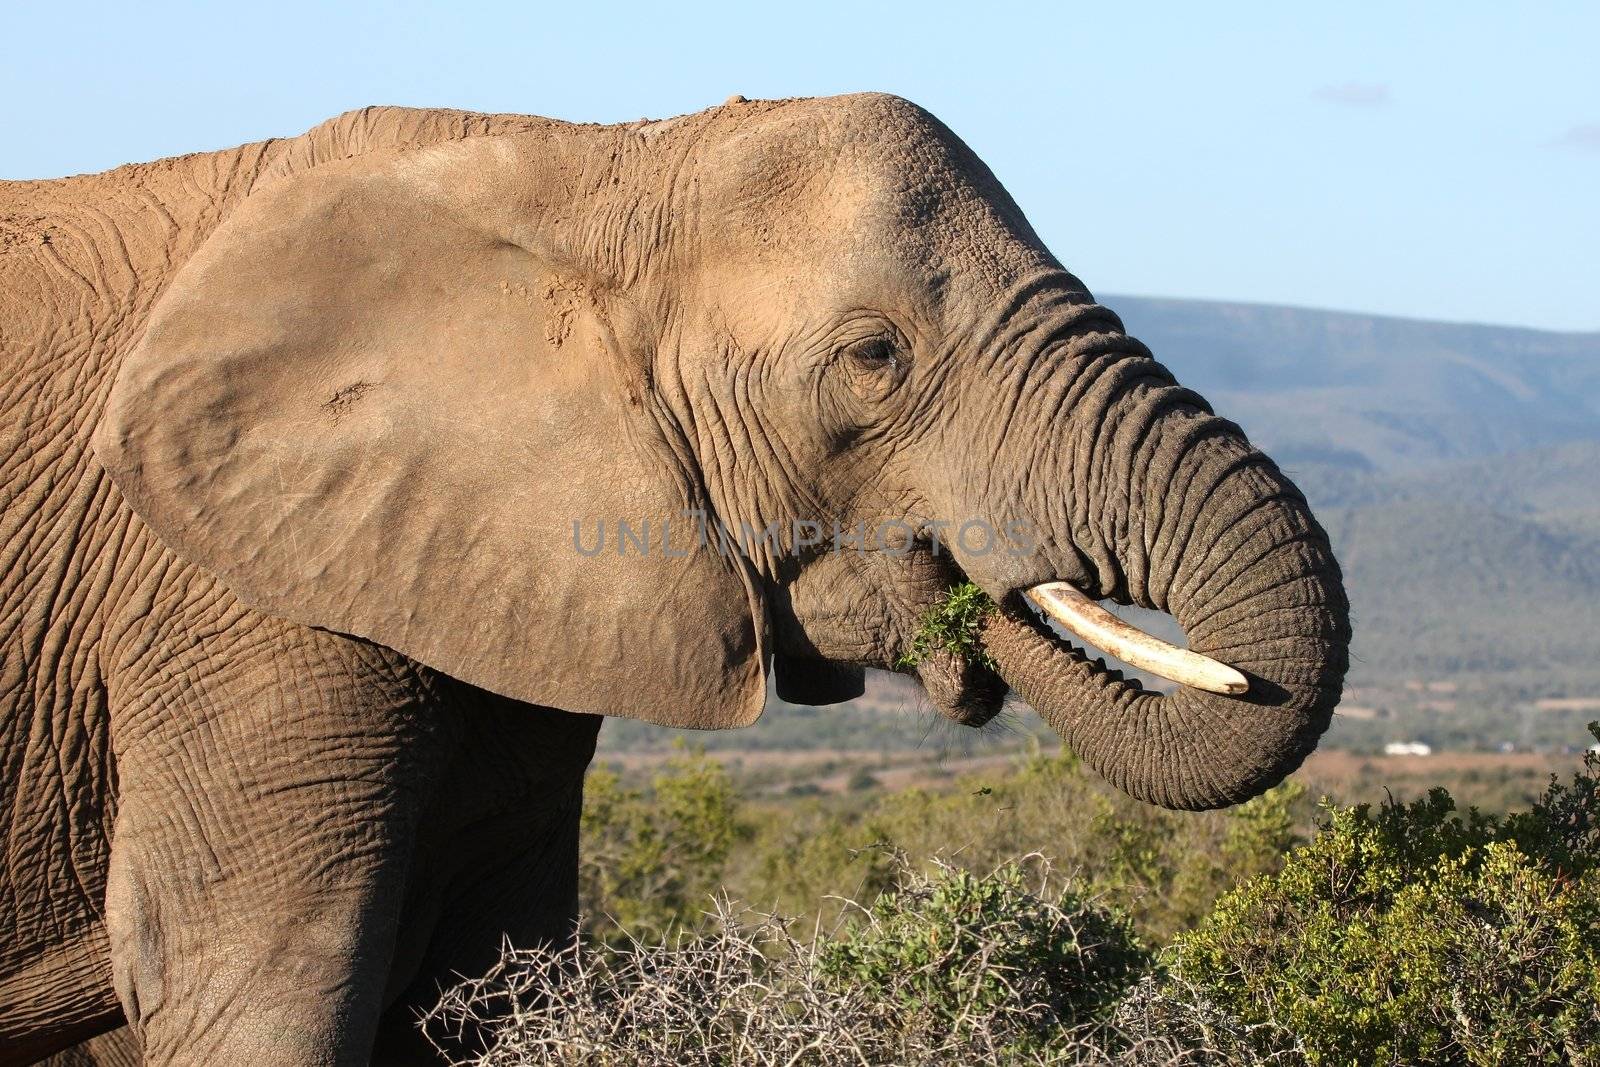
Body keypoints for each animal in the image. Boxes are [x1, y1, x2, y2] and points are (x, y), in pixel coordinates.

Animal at [0, 95, 1350, 1062]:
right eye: (873, 357)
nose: (977, 590)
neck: (596, 159)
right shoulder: (224, 599)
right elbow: (255, 989)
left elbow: (488, 978)